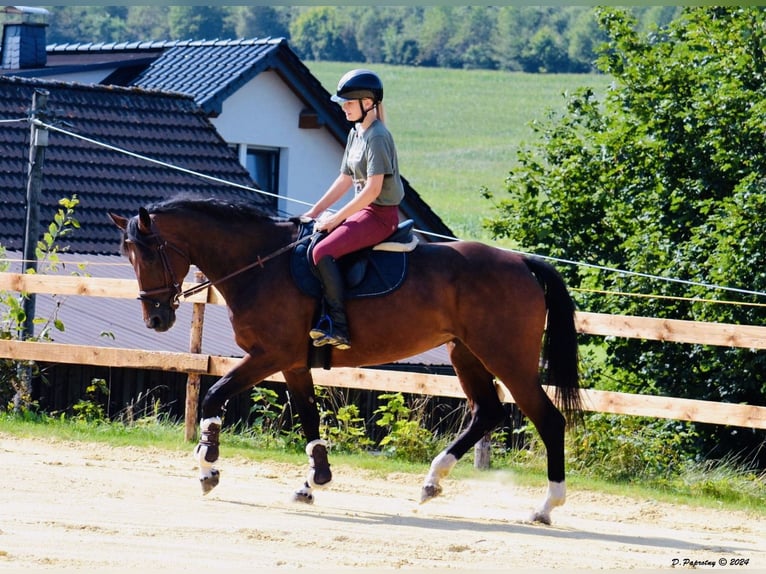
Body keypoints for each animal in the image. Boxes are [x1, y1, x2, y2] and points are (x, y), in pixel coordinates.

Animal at [109, 197, 584, 528]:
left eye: (149, 254)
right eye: (129, 257)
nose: (156, 319)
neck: (259, 265)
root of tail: (521, 261)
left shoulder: (268, 355)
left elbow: (213, 395)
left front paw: (208, 466)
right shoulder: (293, 363)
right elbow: (308, 419)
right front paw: (313, 482)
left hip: (506, 357)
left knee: (548, 420)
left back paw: (546, 506)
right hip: (464, 352)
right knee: (486, 412)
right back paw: (432, 482)